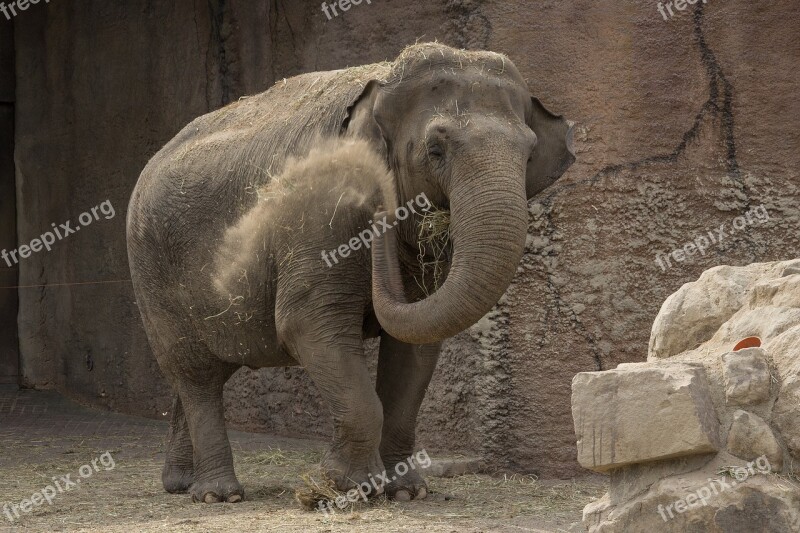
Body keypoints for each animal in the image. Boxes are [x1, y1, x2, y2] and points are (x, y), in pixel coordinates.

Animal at [126, 41, 576, 502]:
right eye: (435, 150)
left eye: (529, 153)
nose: (383, 211)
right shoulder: (320, 217)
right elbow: (310, 325)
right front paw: (342, 490)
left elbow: (415, 349)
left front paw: (406, 492)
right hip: (151, 271)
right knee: (193, 372)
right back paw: (220, 494)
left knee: (209, 369)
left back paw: (181, 483)